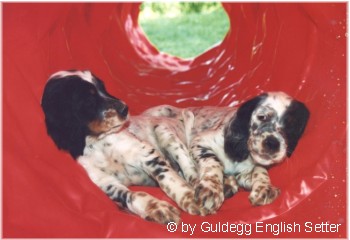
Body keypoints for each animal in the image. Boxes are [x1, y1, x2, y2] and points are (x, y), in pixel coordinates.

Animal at [41, 70, 204, 224]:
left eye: (103, 88)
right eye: (88, 100)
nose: (125, 109)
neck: (98, 144)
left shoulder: (144, 153)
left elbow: (167, 177)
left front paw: (189, 198)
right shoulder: (103, 181)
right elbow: (129, 195)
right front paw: (155, 208)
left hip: (164, 132)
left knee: (188, 167)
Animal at [144, 92, 310, 214]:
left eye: (291, 127)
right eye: (262, 117)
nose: (272, 143)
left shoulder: (245, 171)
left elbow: (260, 169)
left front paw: (264, 188)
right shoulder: (200, 142)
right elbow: (213, 162)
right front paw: (212, 190)